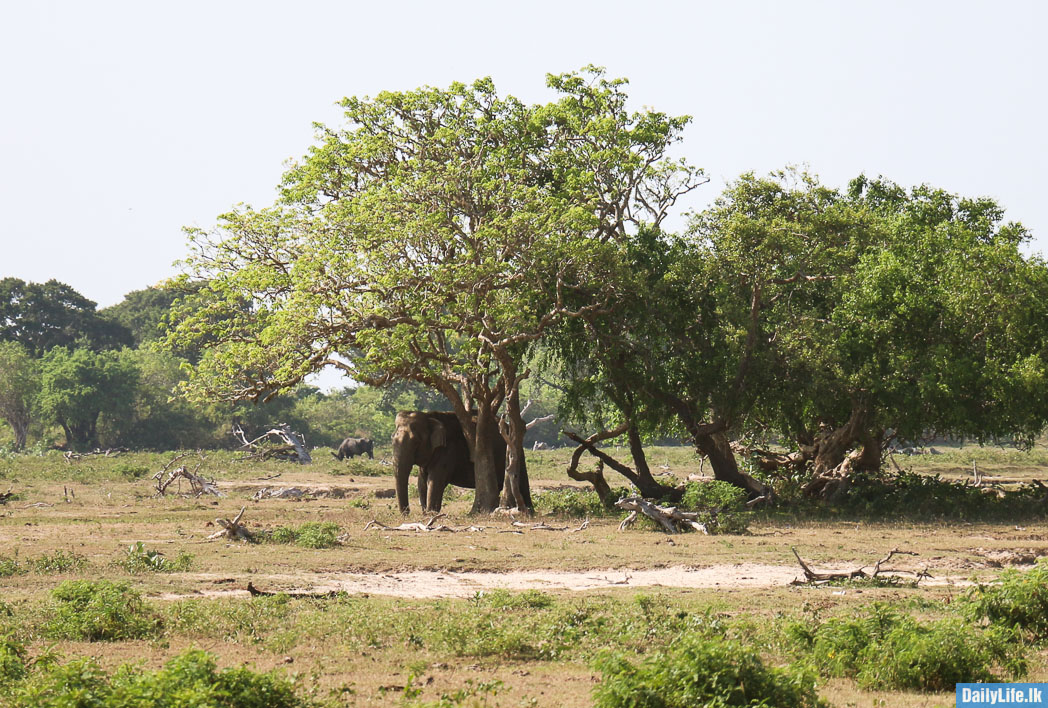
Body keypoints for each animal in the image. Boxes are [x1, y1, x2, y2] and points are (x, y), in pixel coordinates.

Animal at [391, 410, 531, 514]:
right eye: (392, 439)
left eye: (416, 442)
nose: (407, 513)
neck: (429, 415)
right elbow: (422, 481)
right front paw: (426, 513)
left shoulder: (448, 450)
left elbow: (435, 480)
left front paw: (431, 513)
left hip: (515, 451)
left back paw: (527, 511)